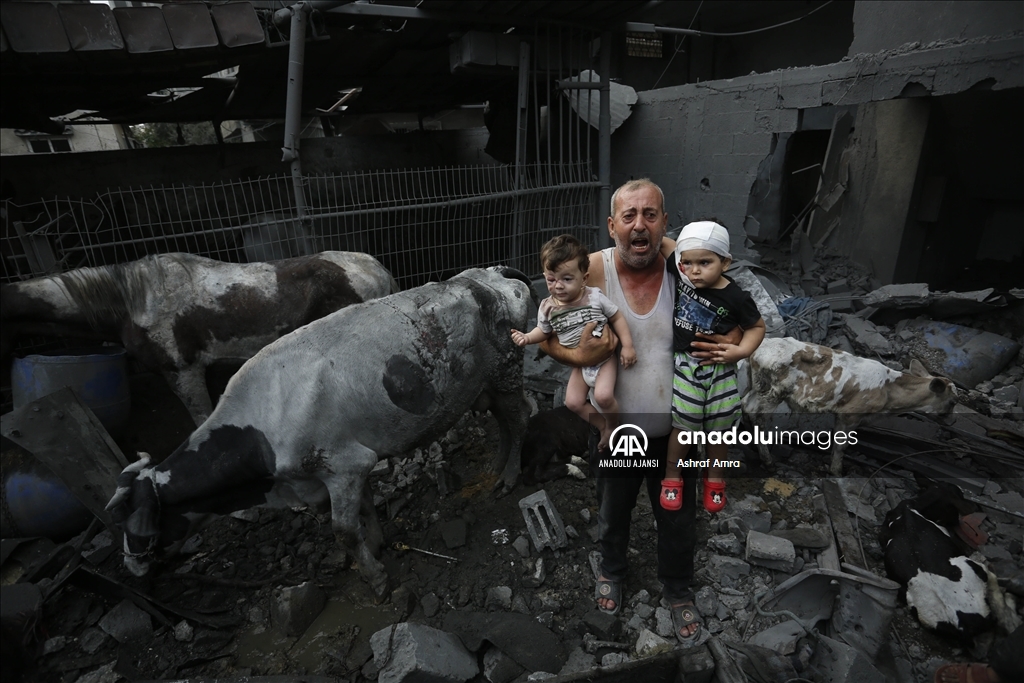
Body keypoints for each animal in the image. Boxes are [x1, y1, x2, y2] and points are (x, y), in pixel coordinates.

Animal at [104, 266, 536, 598]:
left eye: (136, 527)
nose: (131, 568)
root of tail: (490, 273)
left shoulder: (344, 464)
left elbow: (343, 531)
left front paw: (376, 578)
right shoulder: (351, 464)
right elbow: (365, 509)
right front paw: (376, 545)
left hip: (507, 370)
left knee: (518, 419)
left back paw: (510, 476)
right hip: (485, 385)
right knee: (502, 421)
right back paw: (496, 467)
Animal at [741, 335, 954, 475]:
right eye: (952, 401)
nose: (951, 420)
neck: (888, 390)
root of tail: (761, 346)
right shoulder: (850, 414)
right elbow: (841, 446)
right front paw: (836, 471)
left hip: (756, 386)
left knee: (744, 404)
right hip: (773, 391)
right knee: (757, 414)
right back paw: (767, 460)